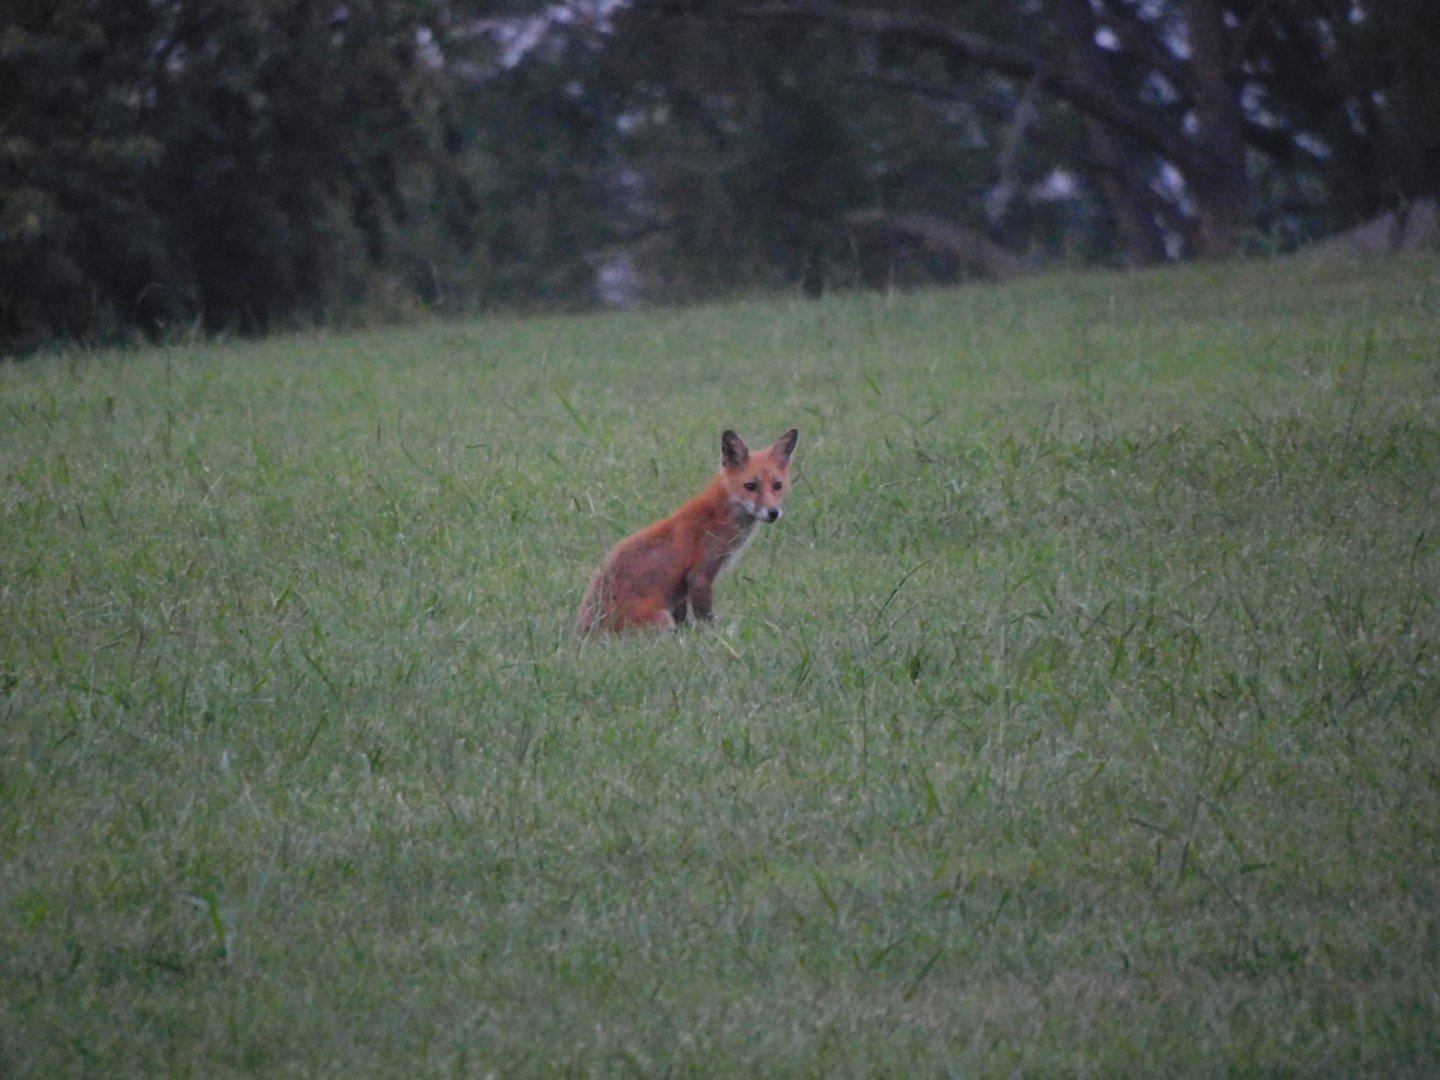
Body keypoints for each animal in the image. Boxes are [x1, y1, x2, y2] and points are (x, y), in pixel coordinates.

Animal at [577, 428, 799, 634]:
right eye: (750, 486)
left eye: (777, 485)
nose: (773, 513)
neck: (719, 515)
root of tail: (583, 634)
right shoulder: (699, 576)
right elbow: (706, 620)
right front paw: (712, 638)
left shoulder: (682, 591)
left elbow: (684, 620)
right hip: (662, 620)